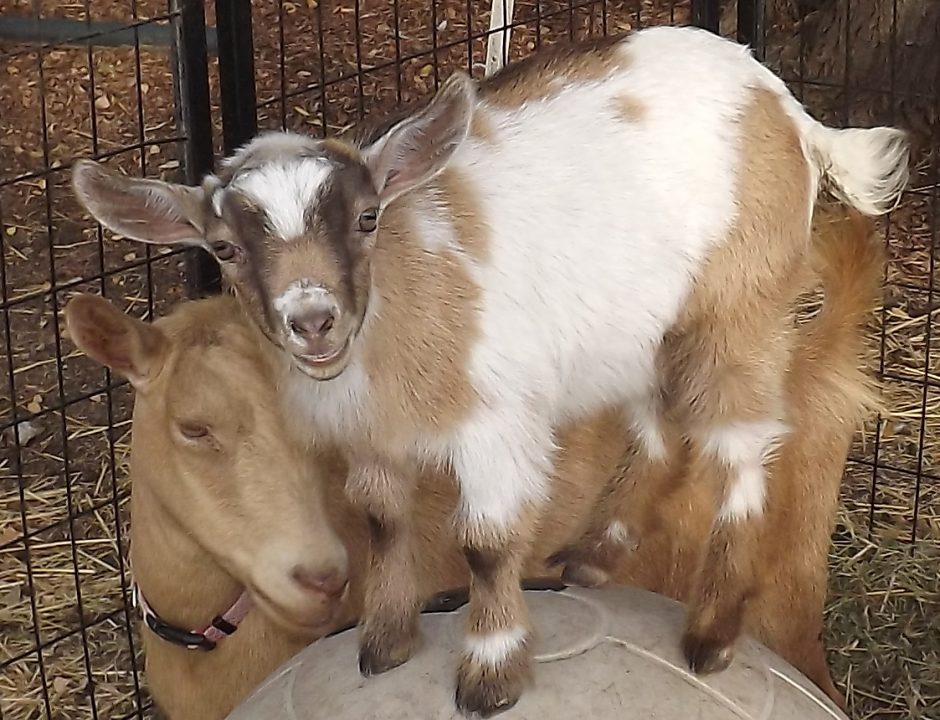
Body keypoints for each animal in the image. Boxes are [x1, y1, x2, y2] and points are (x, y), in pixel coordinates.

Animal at [69, 25, 906, 715]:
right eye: (225, 249)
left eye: (367, 218)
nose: (313, 320)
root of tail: (787, 107)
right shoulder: (370, 437)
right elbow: (382, 522)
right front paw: (385, 644)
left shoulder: (496, 422)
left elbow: (487, 543)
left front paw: (491, 673)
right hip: (648, 326)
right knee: (663, 423)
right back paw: (593, 557)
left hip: (740, 307)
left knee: (742, 446)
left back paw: (710, 634)